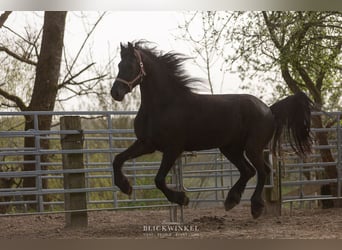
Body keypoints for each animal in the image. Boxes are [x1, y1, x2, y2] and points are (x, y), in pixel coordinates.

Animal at [110, 41, 312, 219]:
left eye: (131, 65)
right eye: (119, 64)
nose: (116, 93)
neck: (164, 105)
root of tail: (269, 109)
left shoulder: (173, 148)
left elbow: (158, 180)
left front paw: (182, 198)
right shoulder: (146, 144)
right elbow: (117, 159)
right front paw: (125, 186)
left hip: (252, 148)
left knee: (263, 171)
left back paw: (255, 207)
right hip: (231, 149)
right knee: (248, 171)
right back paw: (231, 200)